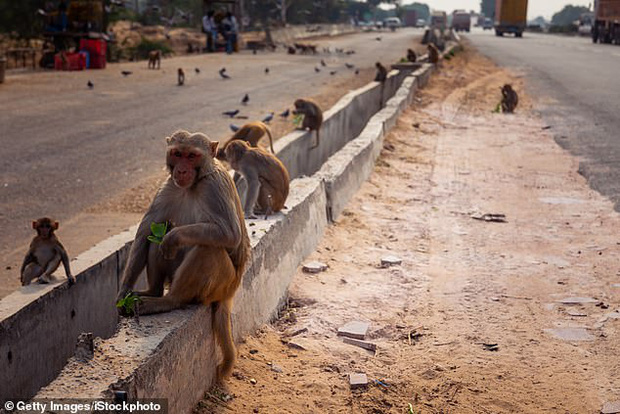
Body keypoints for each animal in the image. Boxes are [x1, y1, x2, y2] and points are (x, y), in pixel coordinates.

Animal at [116, 130, 249, 382]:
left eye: (192, 156)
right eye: (177, 154)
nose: (182, 171)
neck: (194, 183)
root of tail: (231, 291)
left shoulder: (214, 187)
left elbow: (229, 234)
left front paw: (173, 238)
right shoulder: (168, 187)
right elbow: (146, 231)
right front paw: (123, 294)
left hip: (220, 284)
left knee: (208, 249)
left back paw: (169, 301)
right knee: (156, 238)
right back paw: (153, 292)